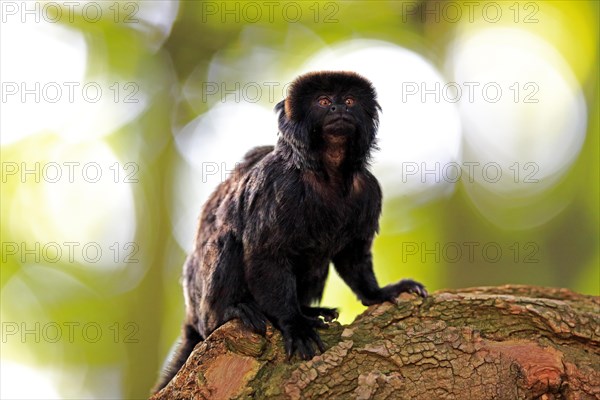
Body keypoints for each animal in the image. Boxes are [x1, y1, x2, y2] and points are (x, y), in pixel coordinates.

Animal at [155, 72, 426, 394]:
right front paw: (294, 323)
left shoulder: (369, 190)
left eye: (349, 101)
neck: (329, 174)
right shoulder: (278, 185)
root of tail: (192, 314)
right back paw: (232, 311)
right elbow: (265, 254)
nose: (338, 109)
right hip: (203, 305)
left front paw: (379, 293)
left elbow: (353, 255)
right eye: (323, 101)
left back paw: (309, 310)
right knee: (226, 240)